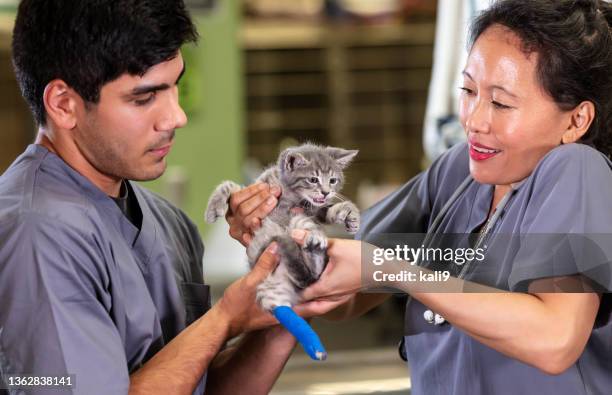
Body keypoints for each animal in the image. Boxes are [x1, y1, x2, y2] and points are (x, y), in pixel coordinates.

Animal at [206, 143, 358, 312]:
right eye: (313, 179)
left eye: (332, 180)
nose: (326, 192)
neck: (289, 192)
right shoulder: (262, 186)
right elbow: (230, 185)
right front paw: (213, 209)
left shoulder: (310, 212)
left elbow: (326, 211)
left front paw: (350, 214)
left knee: (313, 274)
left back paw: (315, 247)